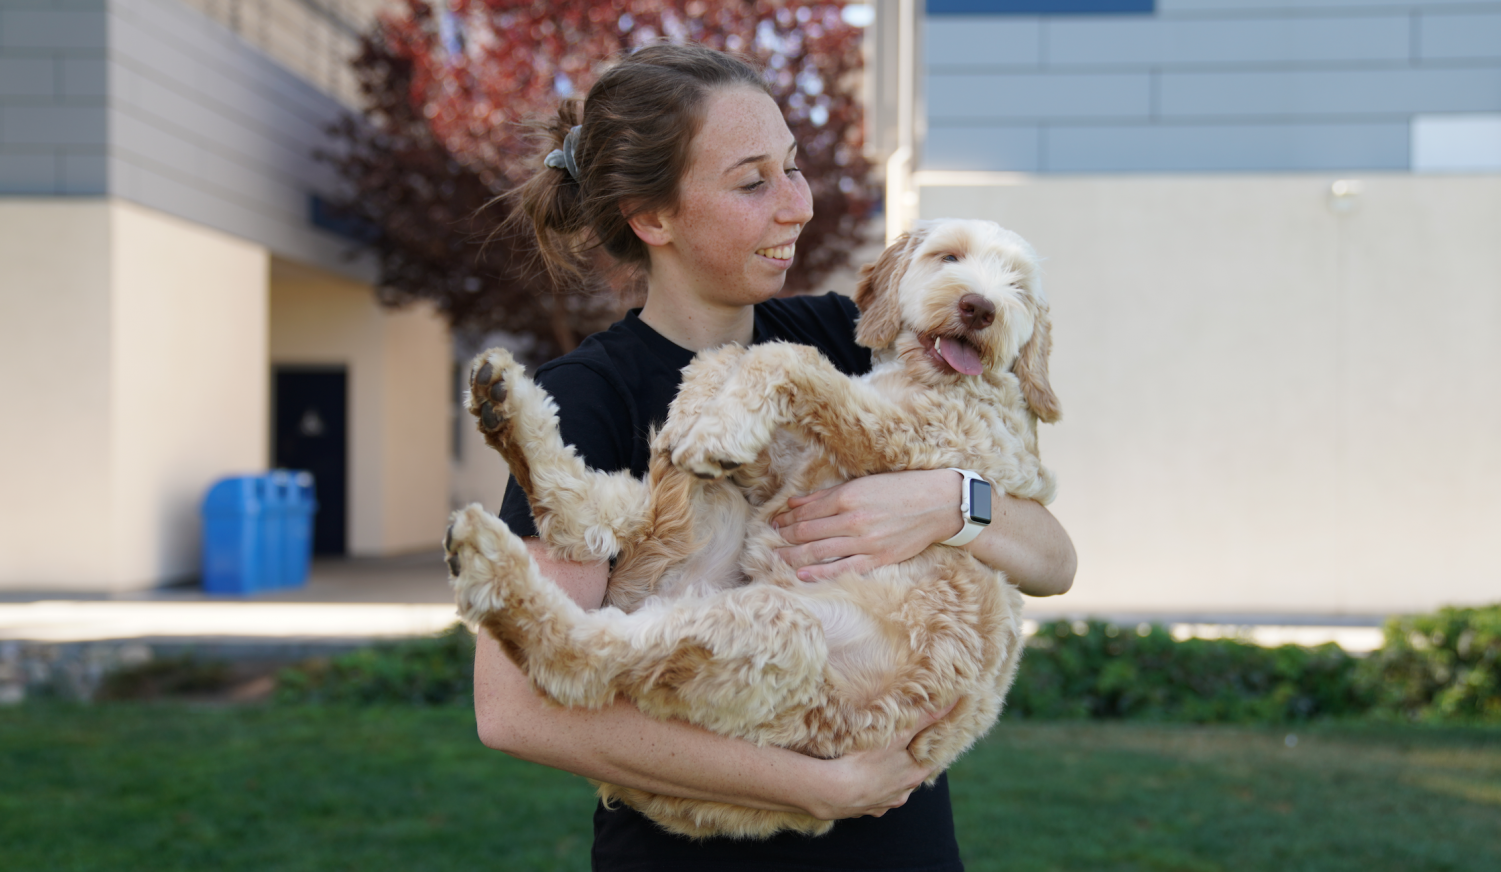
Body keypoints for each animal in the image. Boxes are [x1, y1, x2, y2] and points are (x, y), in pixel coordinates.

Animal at [441, 216, 1056, 834]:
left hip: (772, 636)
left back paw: (488, 562)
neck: (934, 379)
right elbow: (732, 354)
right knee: (593, 515)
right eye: (948, 257)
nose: (980, 308)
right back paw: (505, 416)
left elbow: (783, 357)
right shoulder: (781, 473)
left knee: (578, 662)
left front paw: (711, 427)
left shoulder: (907, 439)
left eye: (1018, 287)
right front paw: (699, 410)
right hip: (706, 525)